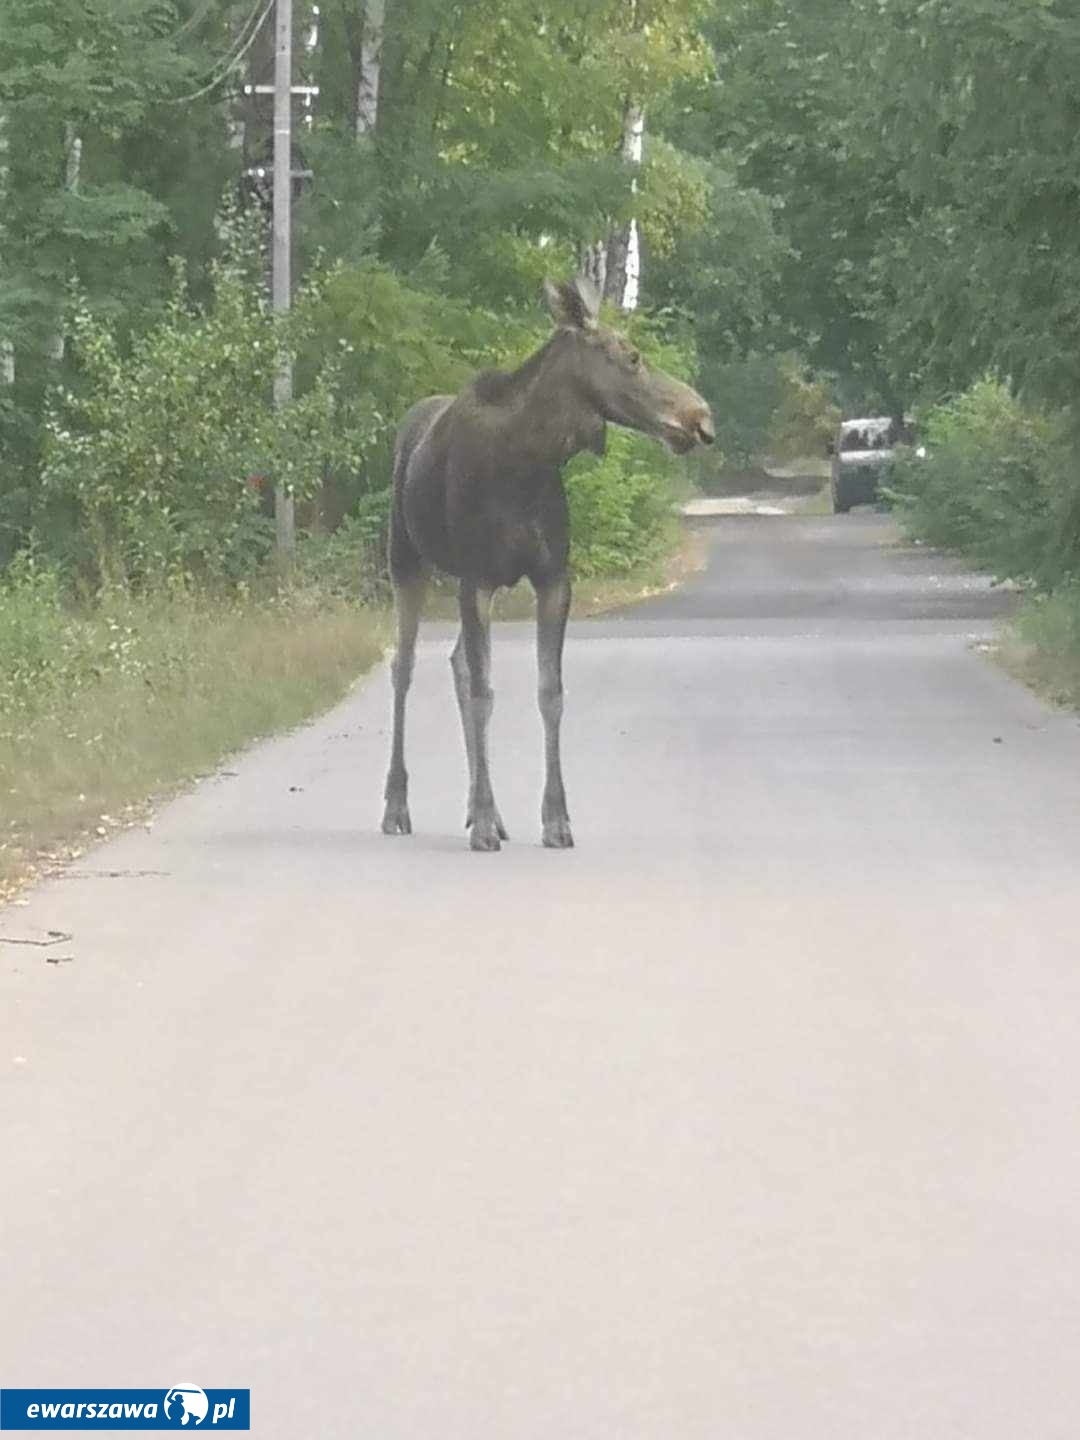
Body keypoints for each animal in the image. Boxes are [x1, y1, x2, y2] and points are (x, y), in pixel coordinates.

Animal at [383, 275, 720, 846]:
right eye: (632, 356)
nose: (700, 418)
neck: (529, 458)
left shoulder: (552, 577)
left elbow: (550, 692)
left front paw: (554, 817)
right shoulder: (474, 578)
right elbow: (485, 694)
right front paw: (485, 825)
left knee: (455, 661)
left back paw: (485, 810)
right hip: (405, 560)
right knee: (403, 667)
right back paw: (398, 806)